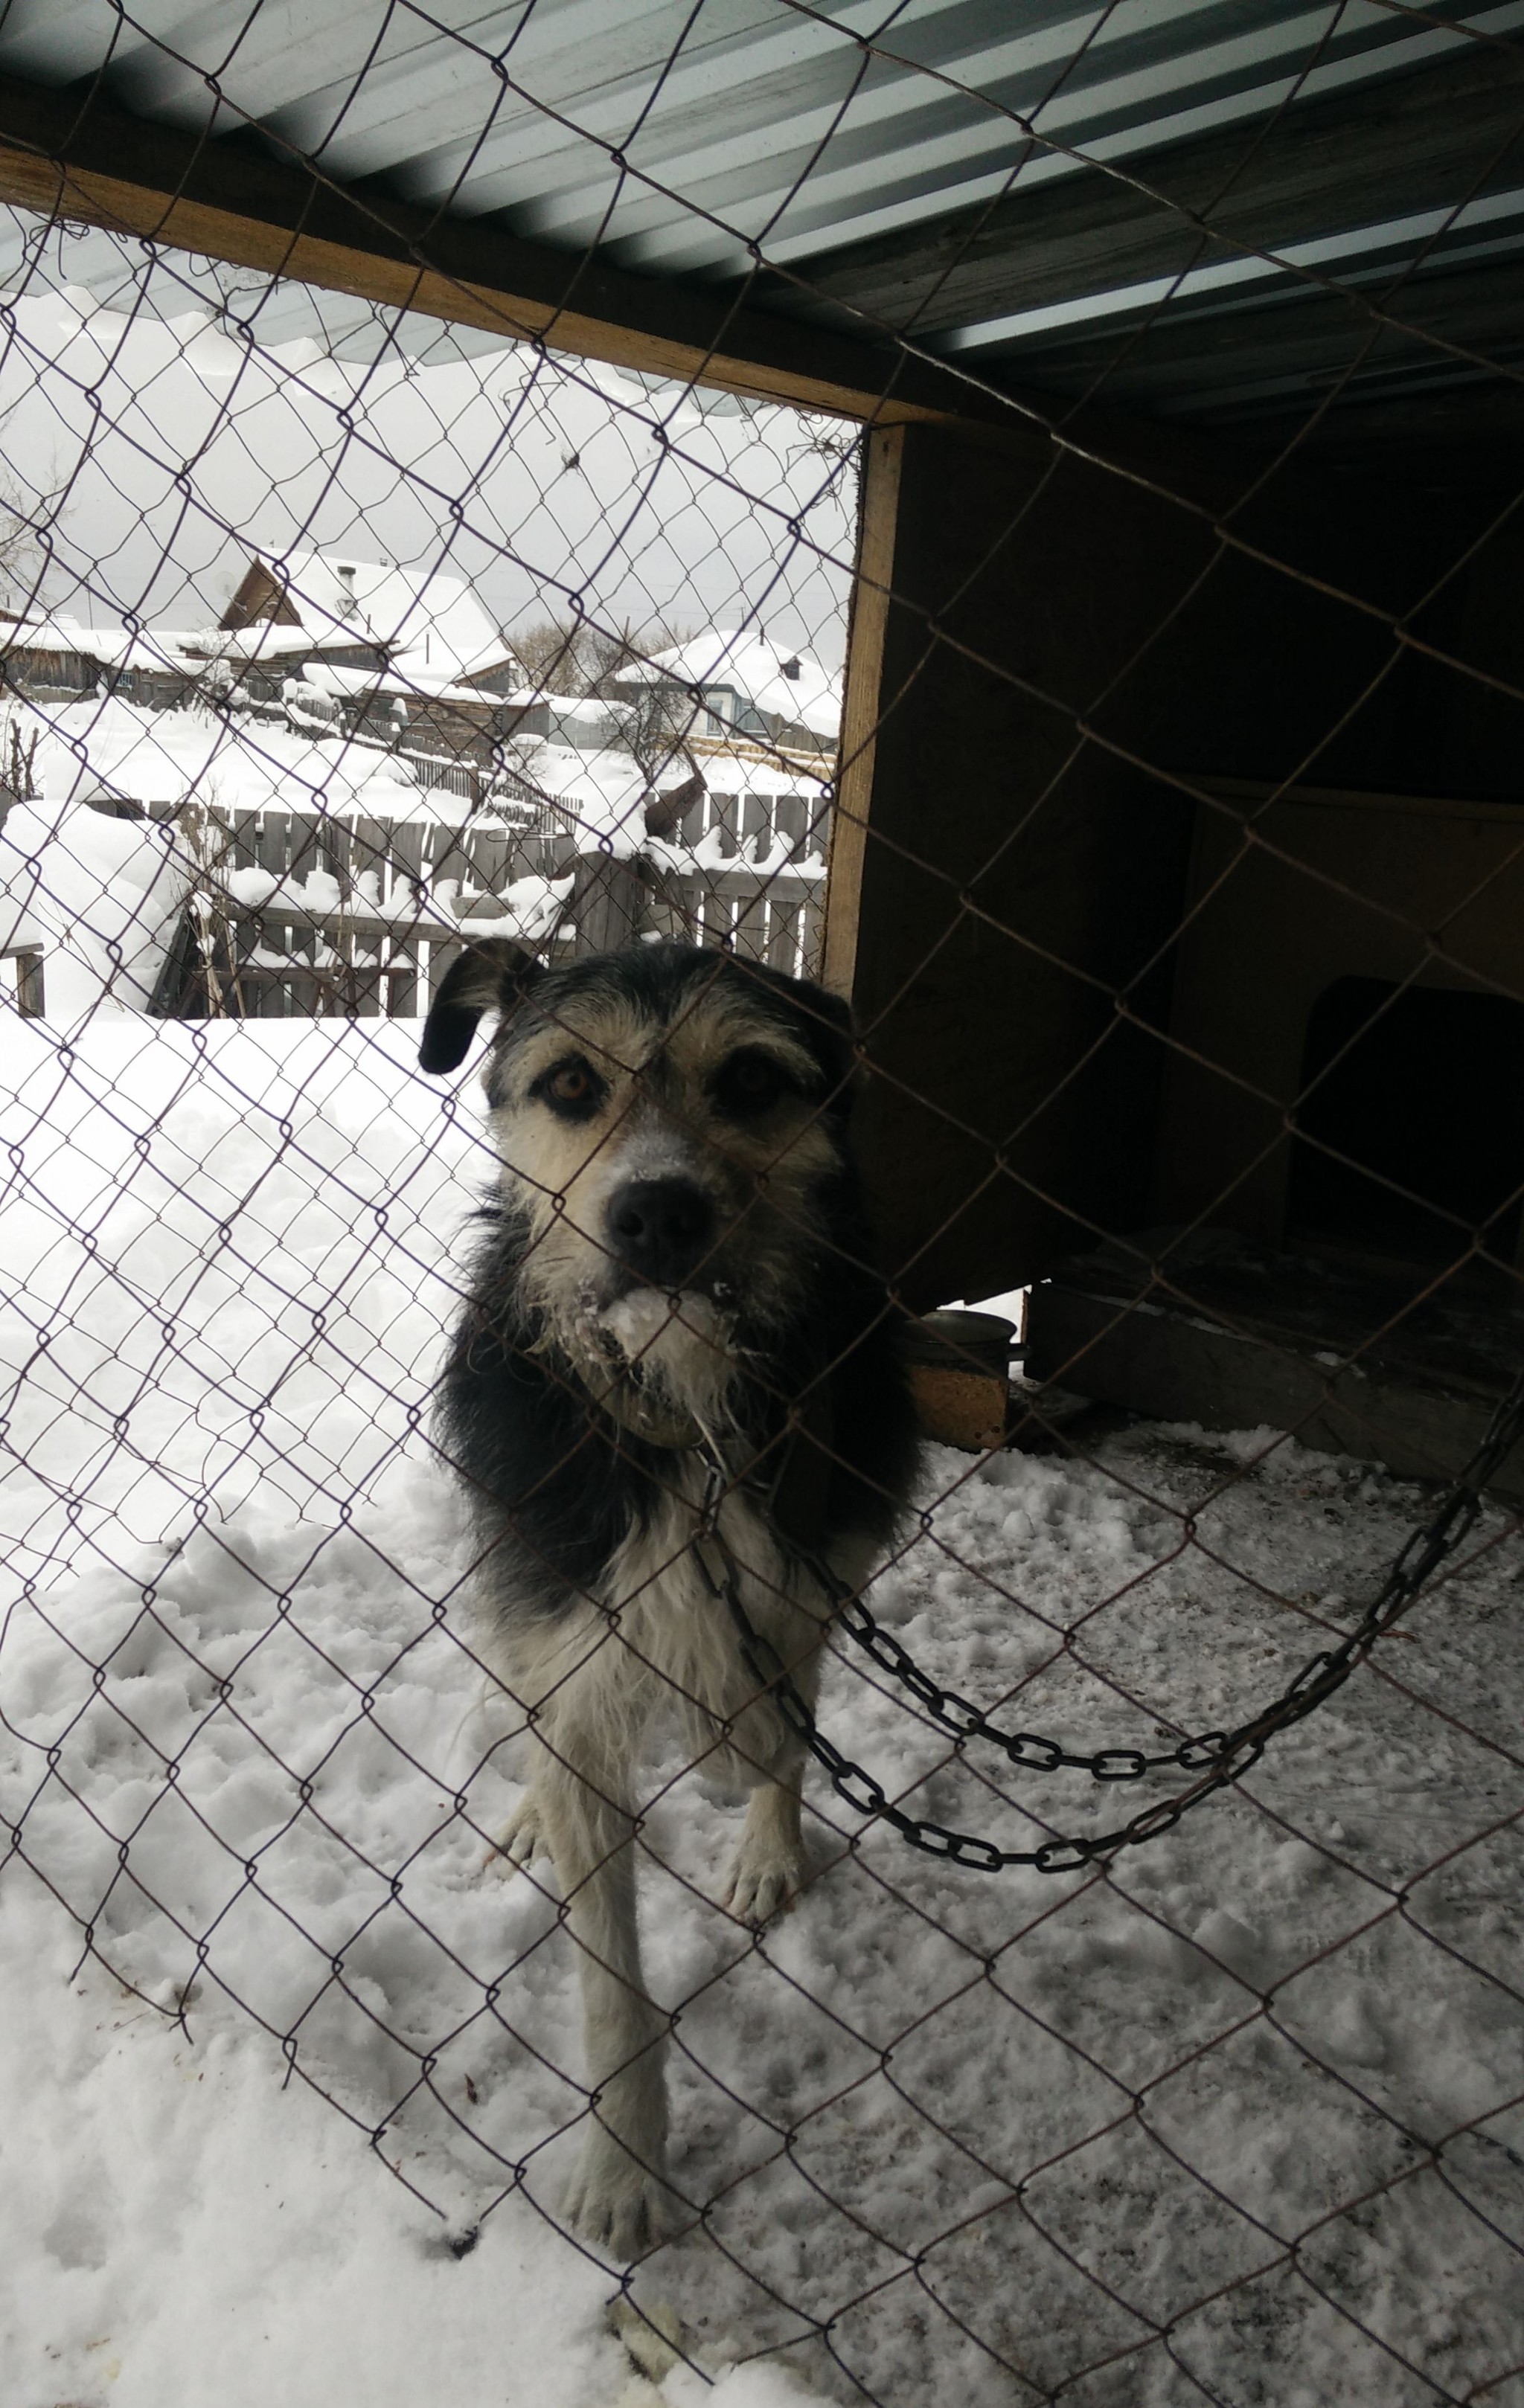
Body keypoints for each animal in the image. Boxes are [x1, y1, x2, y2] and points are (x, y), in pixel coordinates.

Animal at [416, 934, 915, 2253]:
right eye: (570, 1085)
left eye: (749, 1080)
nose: (657, 1212)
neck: (680, 1407)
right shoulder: (564, 1626)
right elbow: (610, 1977)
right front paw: (627, 2170)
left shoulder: (816, 1561)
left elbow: (771, 1721)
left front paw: (759, 1820)